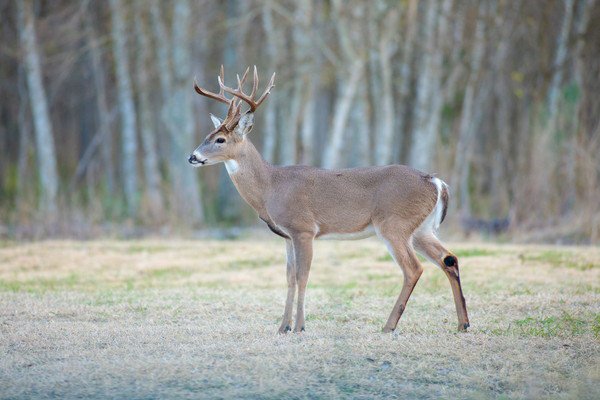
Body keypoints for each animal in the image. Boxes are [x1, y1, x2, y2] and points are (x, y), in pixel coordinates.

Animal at [188, 66, 468, 334]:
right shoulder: (287, 236)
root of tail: (436, 182)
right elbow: (289, 277)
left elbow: (303, 276)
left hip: (394, 224)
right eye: (206, 136)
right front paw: (282, 327)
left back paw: (389, 326)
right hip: (421, 229)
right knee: (449, 259)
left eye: (220, 139)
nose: (192, 157)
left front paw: (299, 327)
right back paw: (463, 323)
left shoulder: (303, 228)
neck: (271, 186)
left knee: (413, 268)